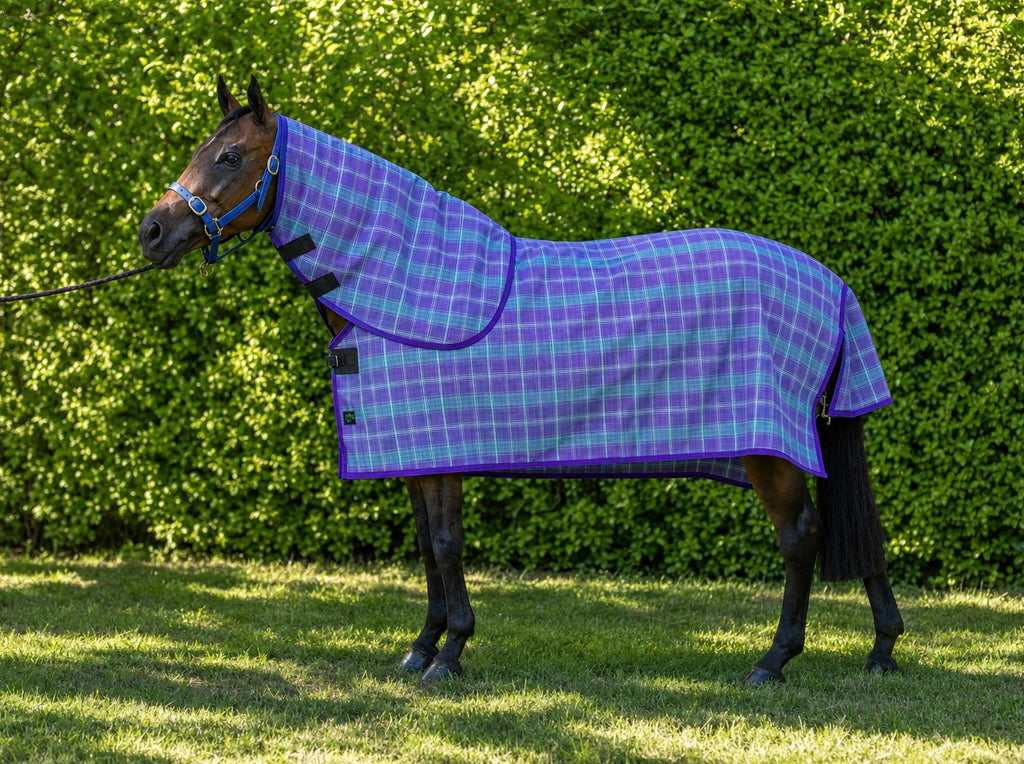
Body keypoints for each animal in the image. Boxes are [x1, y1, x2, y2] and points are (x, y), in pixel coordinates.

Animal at [139, 76, 904, 685]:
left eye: (230, 156)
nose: (151, 232)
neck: (404, 281)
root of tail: (830, 283)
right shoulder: (416, 453)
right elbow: (428, 546)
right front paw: (422, 647)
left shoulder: (442, 449)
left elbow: (447, 545)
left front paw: (451, 653)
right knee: (852, 530)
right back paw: (882, 650)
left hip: (769, 451)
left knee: (801, 537)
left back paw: (774, 660)